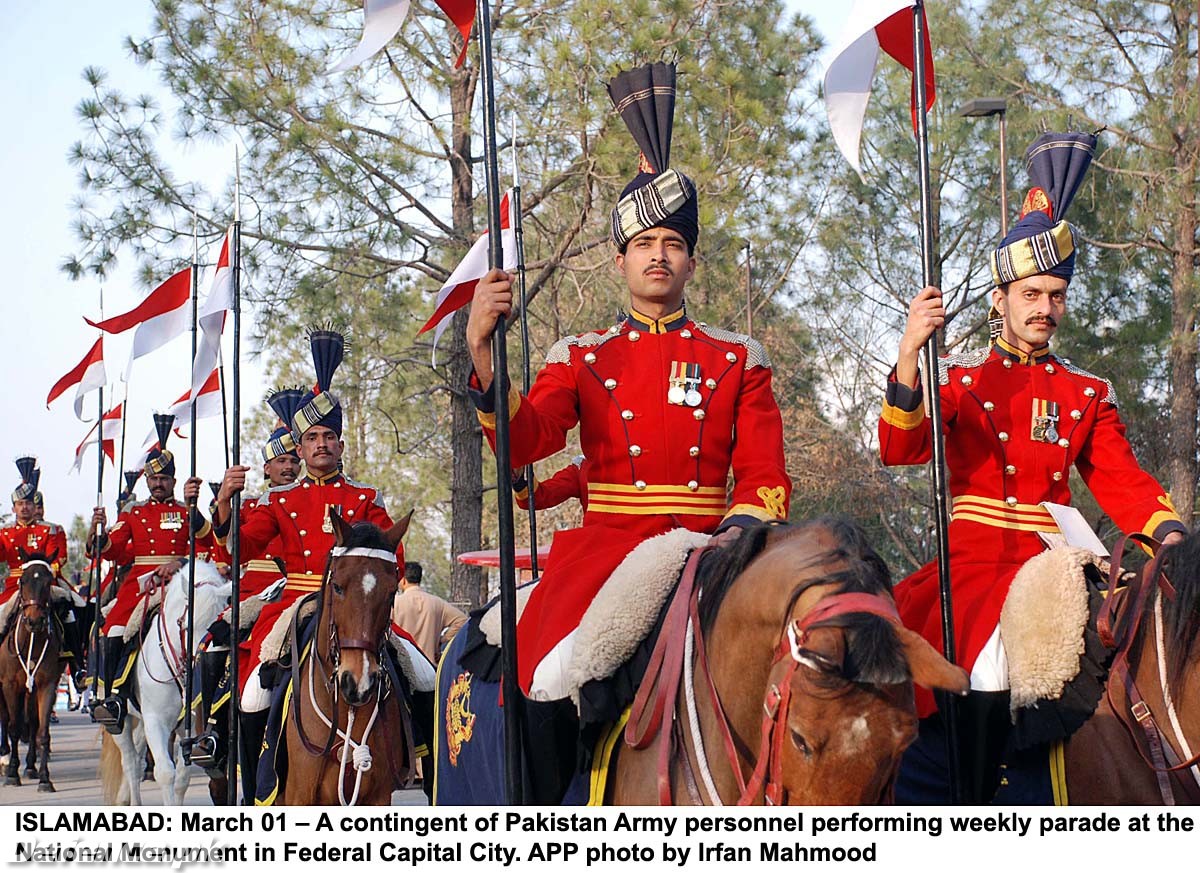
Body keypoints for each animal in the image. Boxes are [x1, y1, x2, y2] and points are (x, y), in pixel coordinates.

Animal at [0, 551, 65, 791]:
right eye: (22, 580)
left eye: (48, 581)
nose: (35, 621)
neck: (31, 641)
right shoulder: (10, 685)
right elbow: (13, 727)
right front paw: (11, 773)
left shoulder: (47, 685)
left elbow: (42, 731)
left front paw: (45, 778)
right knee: (7, 719)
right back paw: (7, 759)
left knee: (32, 722)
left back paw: (30, 766)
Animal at [102, 563, 231, 805]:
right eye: (188, 627)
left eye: (217, 629)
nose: (201, 671)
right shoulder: (156, 719)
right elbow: (165, 773)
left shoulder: (188, 727)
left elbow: (181, 779)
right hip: (119, 721)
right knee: (130, 762)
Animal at [278, 510, 415, 805]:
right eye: (338, 587)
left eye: (391, 593)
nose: (358, 683)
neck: (347, 709)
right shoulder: (299, 796)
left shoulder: (379, 796)